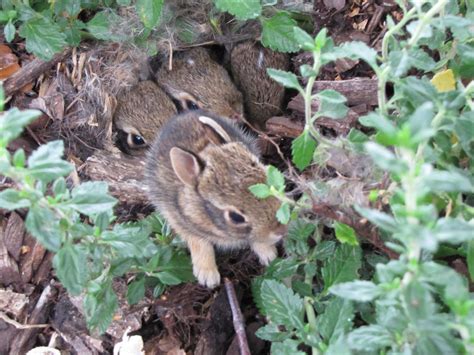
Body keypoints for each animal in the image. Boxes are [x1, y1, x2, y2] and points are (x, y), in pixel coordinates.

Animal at [145, 111, 286, 290]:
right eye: (236, 217)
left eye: (268, 179)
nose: (281, 230)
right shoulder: (181, 222)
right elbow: (200, 244)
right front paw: (208, 277)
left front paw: (269, 255)